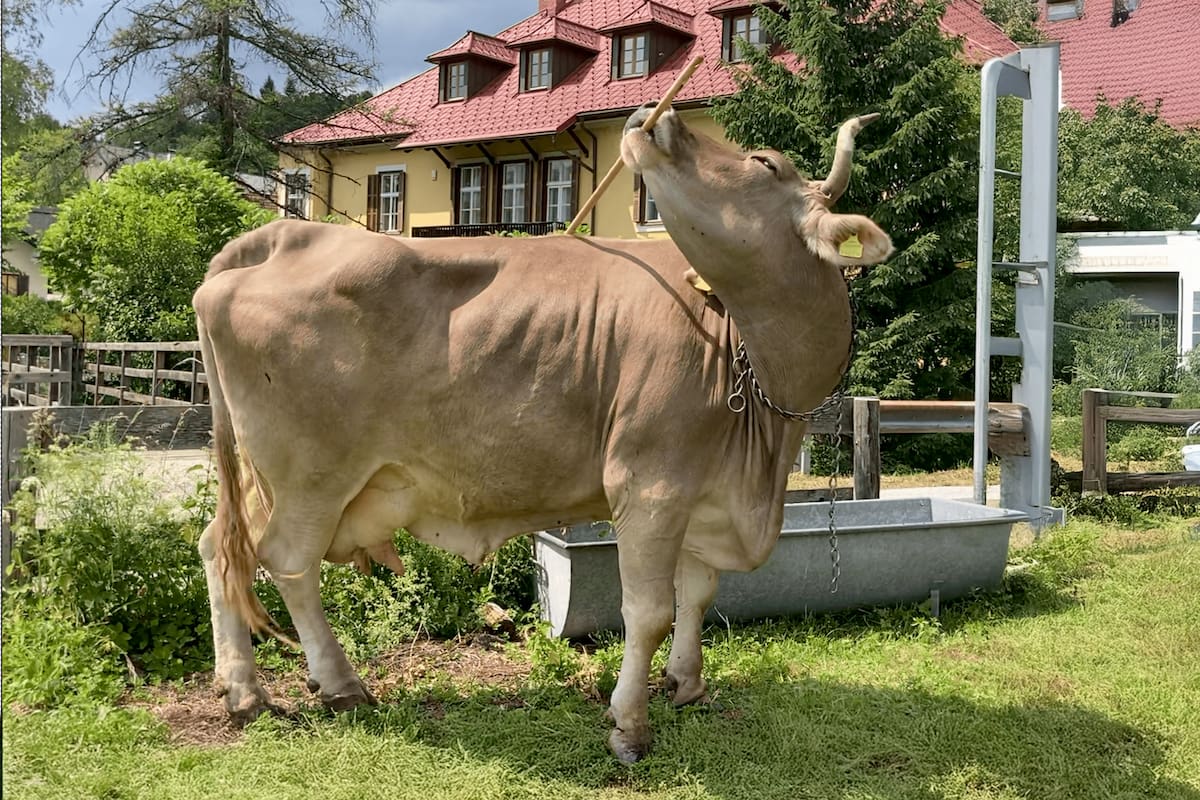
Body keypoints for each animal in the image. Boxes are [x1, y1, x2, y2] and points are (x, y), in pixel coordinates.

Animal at [193, 103, 893, 763]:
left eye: (763, 163)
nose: (658, 117)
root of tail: (282, 234)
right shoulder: (650, 483)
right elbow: (648, 612)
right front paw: (629, 726)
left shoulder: (705, 489)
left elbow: (698, 593)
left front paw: (686, 684)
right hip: (311, 475)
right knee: (288, 563)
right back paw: (338, 685)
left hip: (266, 476)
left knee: (220, 550)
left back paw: (243, 691)